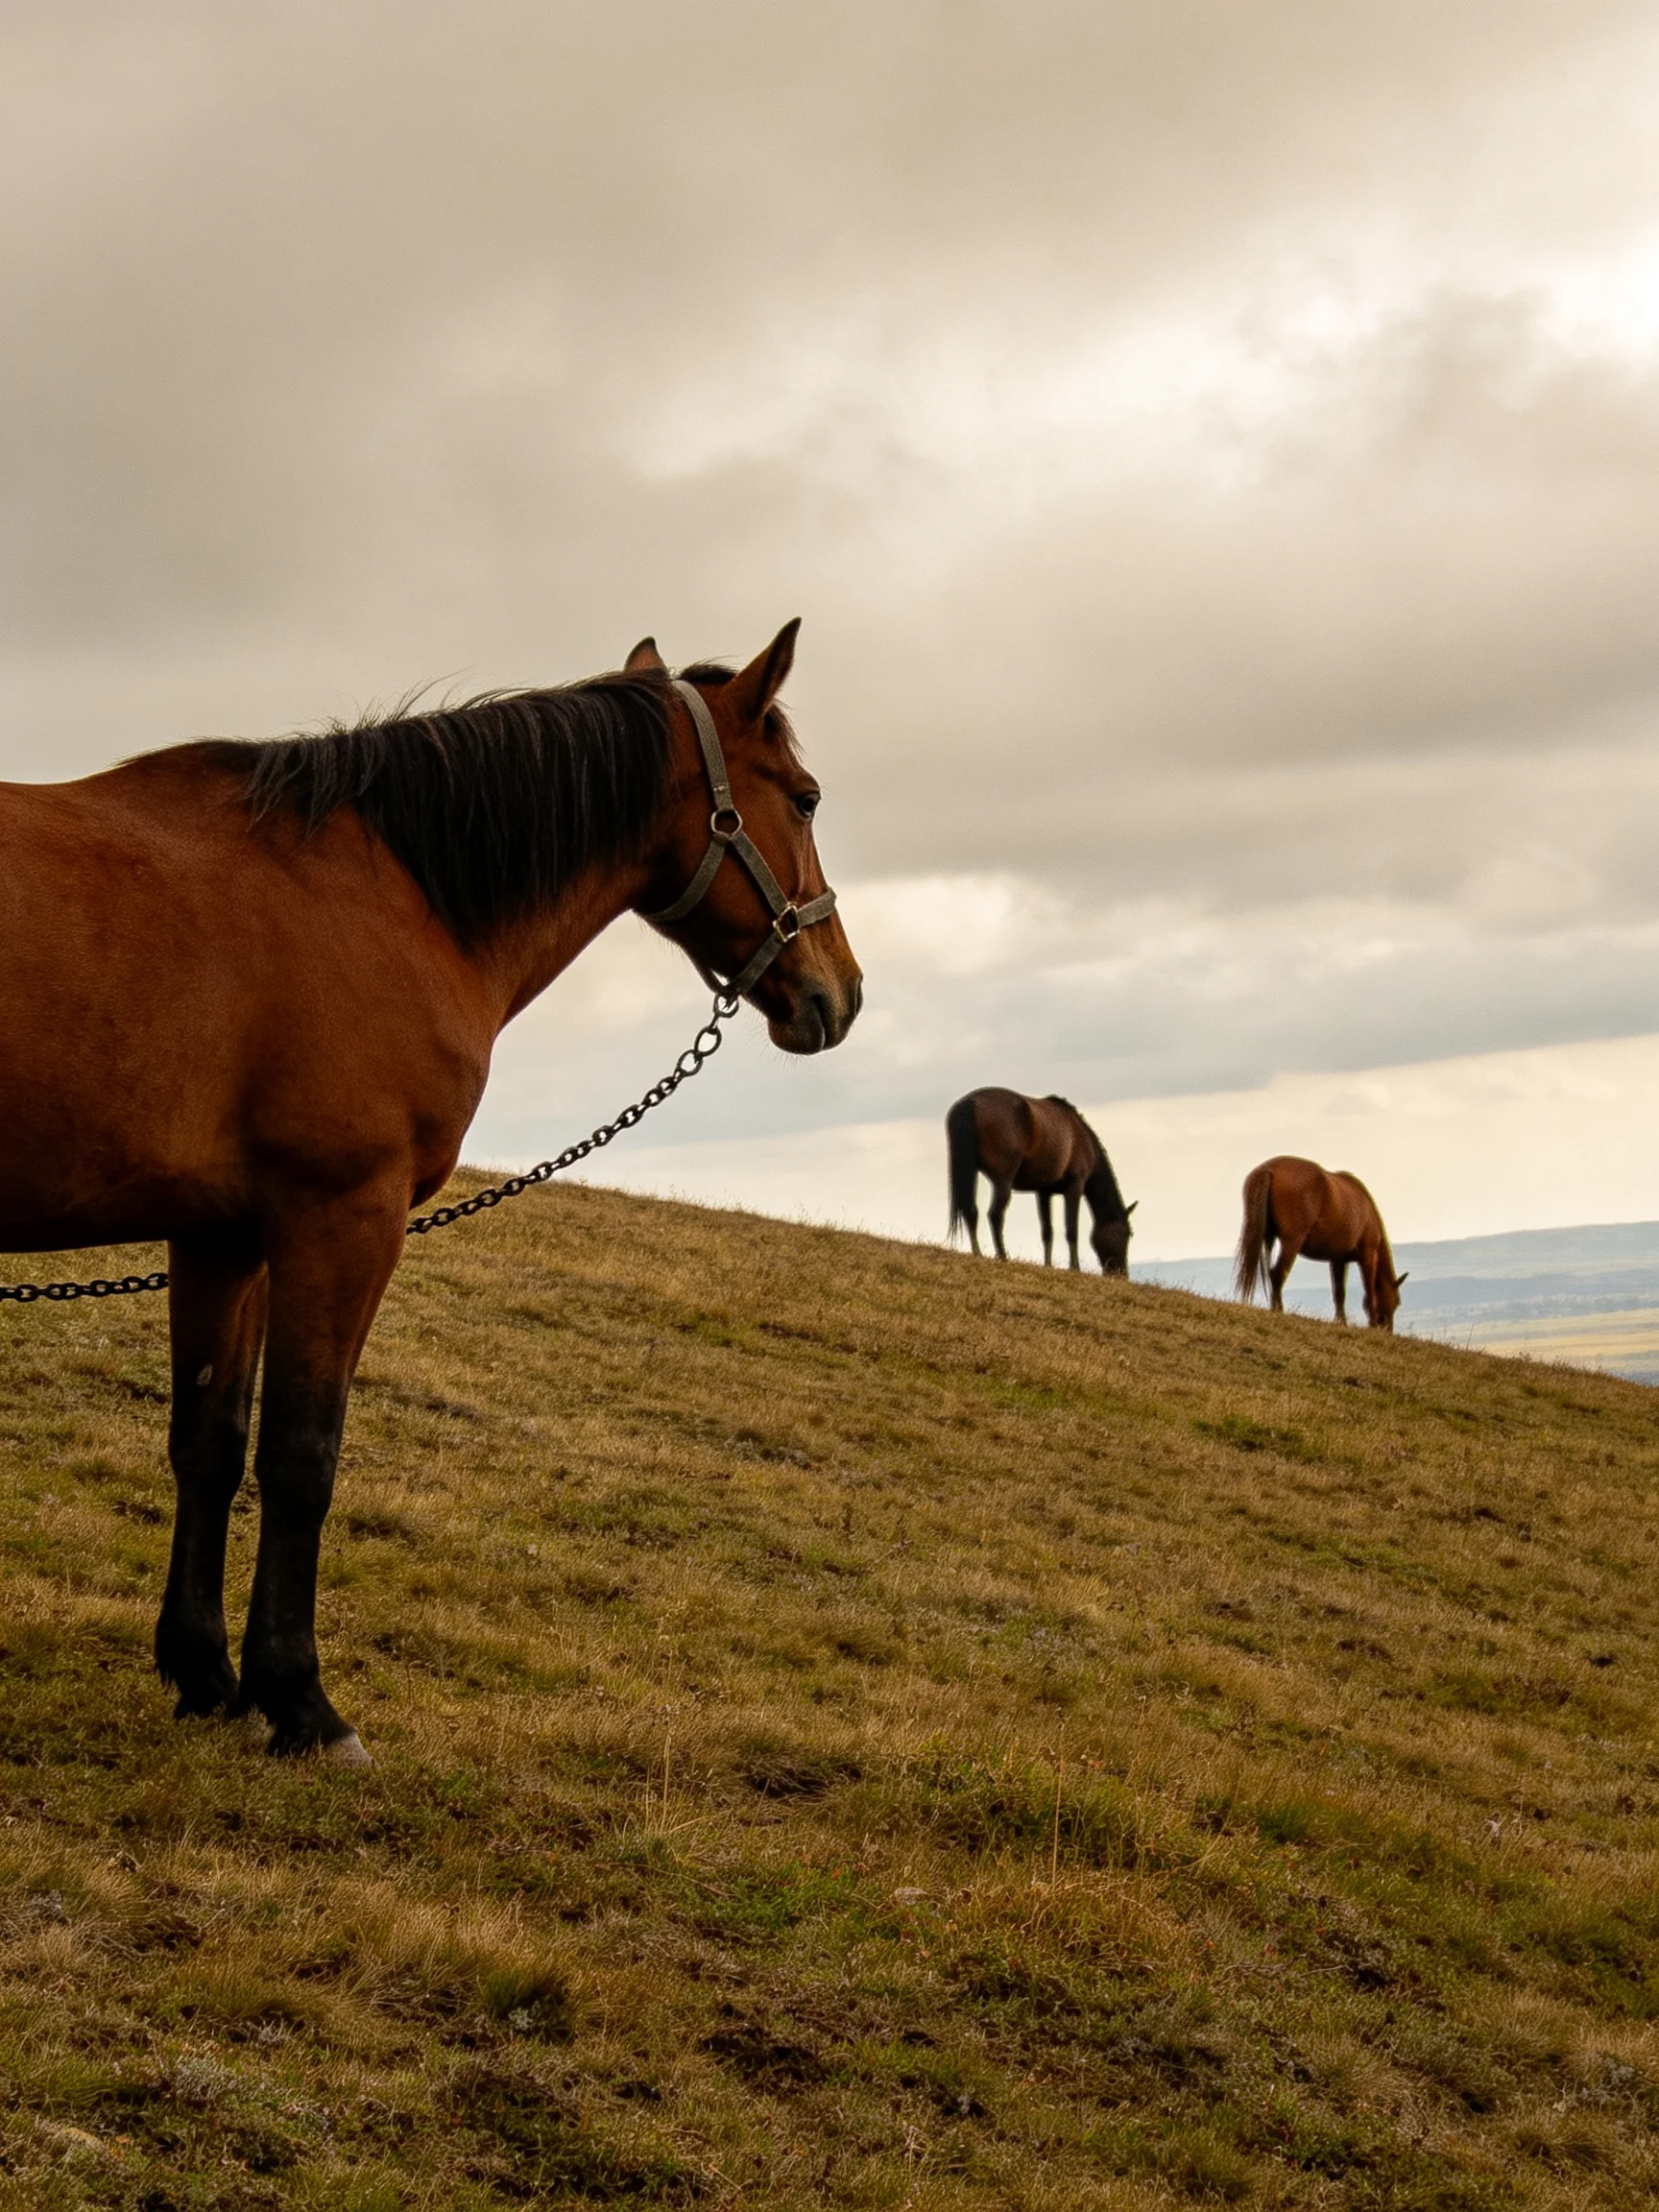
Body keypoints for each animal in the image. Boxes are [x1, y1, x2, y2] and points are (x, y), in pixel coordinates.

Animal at [0, 622, 861, 1762]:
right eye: (804, 797)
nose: (839, 993)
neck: (388, 891)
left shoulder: (225, 1238)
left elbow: (209, 1445)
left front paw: (204, 1676)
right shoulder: (343, 1219)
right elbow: (302, 1454)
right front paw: (301, 1702)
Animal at [946, 1088, 1136, 1272]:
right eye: (1127, 1234)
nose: (1121, 1274)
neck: (1081, 1137)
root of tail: (970, 1104)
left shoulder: (1044, 1192)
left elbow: (1047, 1231)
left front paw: (1048, 1265)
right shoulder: (1074, 1187)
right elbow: (1071, 1231)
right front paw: (1074, 1268)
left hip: (971, 1172)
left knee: (970, 1210)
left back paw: (977, 1252)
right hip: (1003, 1182)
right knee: (995, 1214)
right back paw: (1002, 1256)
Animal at [1233, 1156, 1407, 1330]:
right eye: (1397, 1302)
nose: (1387, 1329)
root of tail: (1269, 1168)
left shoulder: (1338, 1260)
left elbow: (1339, 1292)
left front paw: (1341, 1322)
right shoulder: (1368, 1256)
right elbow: (1370, 1292)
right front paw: (1371, 1325)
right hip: (1292, 1242)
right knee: (1277, 1273)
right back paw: (1279, 1310)